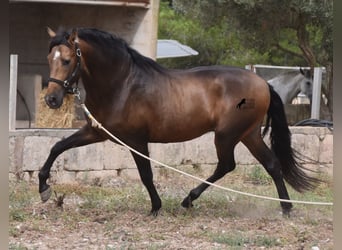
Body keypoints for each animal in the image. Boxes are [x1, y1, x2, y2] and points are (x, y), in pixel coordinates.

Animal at [38, 26, 320, 215]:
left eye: (67, 60)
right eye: (49, 58)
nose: (51, 99)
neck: (122, 84)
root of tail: (262, 83)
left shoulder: (136, 141)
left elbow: (146, 174)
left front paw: (155, 207)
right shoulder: (96, 132)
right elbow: (56, 147)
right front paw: (43, 189)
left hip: (227, 135)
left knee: (227, 165)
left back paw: (189, 199)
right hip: (248, 134)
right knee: (271, 163)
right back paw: (286, 208)